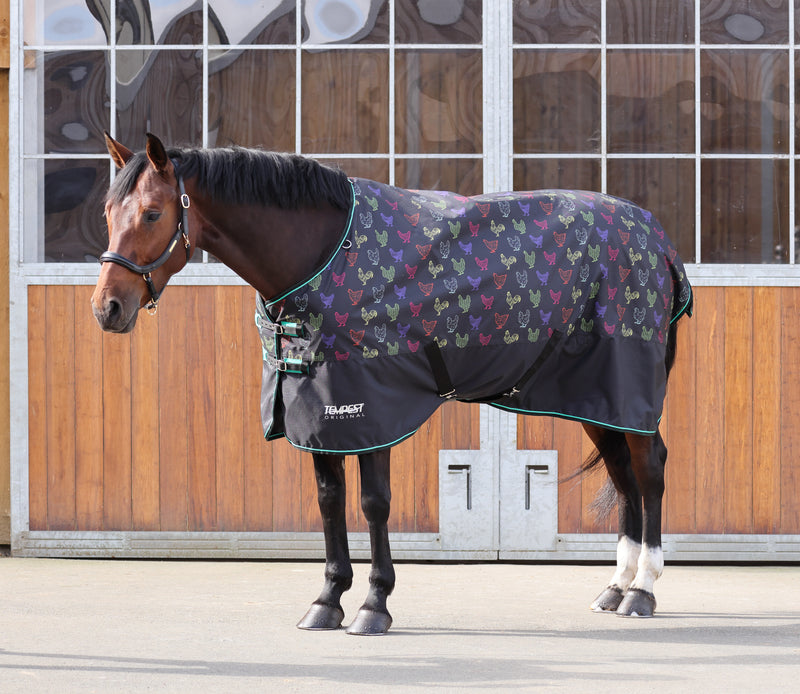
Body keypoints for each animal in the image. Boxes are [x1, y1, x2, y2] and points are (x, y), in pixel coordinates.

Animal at [92, 132, 692, 635]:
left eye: (152, 213)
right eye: (107, 212)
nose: (107, 308)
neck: (324, 257)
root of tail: (656, 237)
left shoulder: (371, 407)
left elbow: (373, 503)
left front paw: (373, 605)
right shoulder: (319, 411)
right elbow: (329, 500)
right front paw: (327, 601)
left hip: (630, 389)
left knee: (650, 470)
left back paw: (642, 590)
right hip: (596, 398)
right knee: (622, 476)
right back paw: (615, 587)